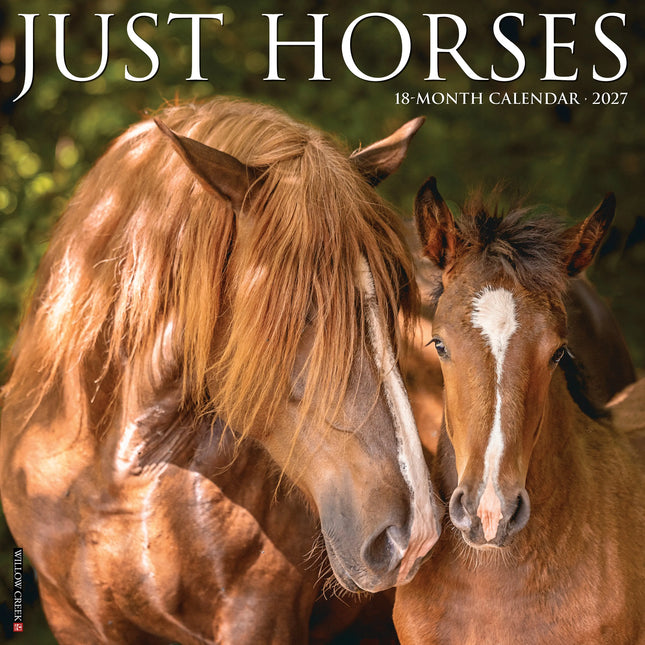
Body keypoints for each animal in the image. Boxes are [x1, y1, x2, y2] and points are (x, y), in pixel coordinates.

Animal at [0, 98, 442, 644]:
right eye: (296, 308)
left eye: (395, 294)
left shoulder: (258, 615)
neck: (122, 475)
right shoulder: (72, 619)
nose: (415, 533)